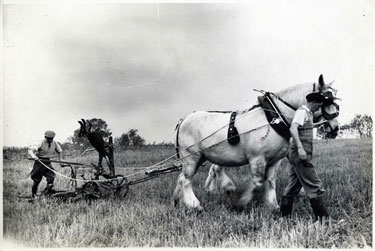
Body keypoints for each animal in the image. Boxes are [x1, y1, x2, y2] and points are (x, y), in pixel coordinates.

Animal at [173, 75, 340, 212]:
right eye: (326, 100)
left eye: (335, 101)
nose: (336, 127)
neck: (272, 118)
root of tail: (183, 120)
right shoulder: (257, 159)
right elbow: (258, 183)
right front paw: (241, 203)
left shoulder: (274, 160)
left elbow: (270, 182)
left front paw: (273, 206)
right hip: (191, 157)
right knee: (186, 180)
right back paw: (195, 204)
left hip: (201, 157)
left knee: (186, 176)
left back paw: (179, 200)